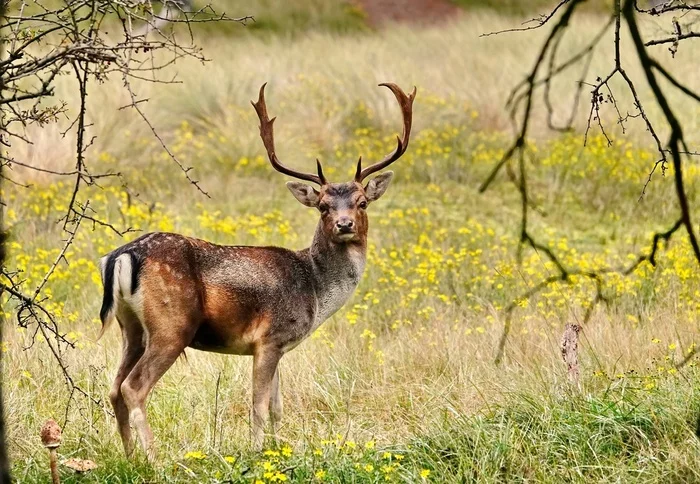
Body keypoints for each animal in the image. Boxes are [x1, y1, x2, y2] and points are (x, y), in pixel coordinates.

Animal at [98, 80, 416, 458]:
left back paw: (130, 457)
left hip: (130, 327)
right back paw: (154, 458)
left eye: (362, 202)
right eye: (323, 206)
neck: (315, 288)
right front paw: (256, 452)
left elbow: (278, 407)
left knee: (115, 387)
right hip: (172, 325)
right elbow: (259, 406)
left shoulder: (277, 346)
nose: (344, 224)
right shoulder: (270, 337)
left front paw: (278, 451)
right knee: (134, 387)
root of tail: (122, 255)